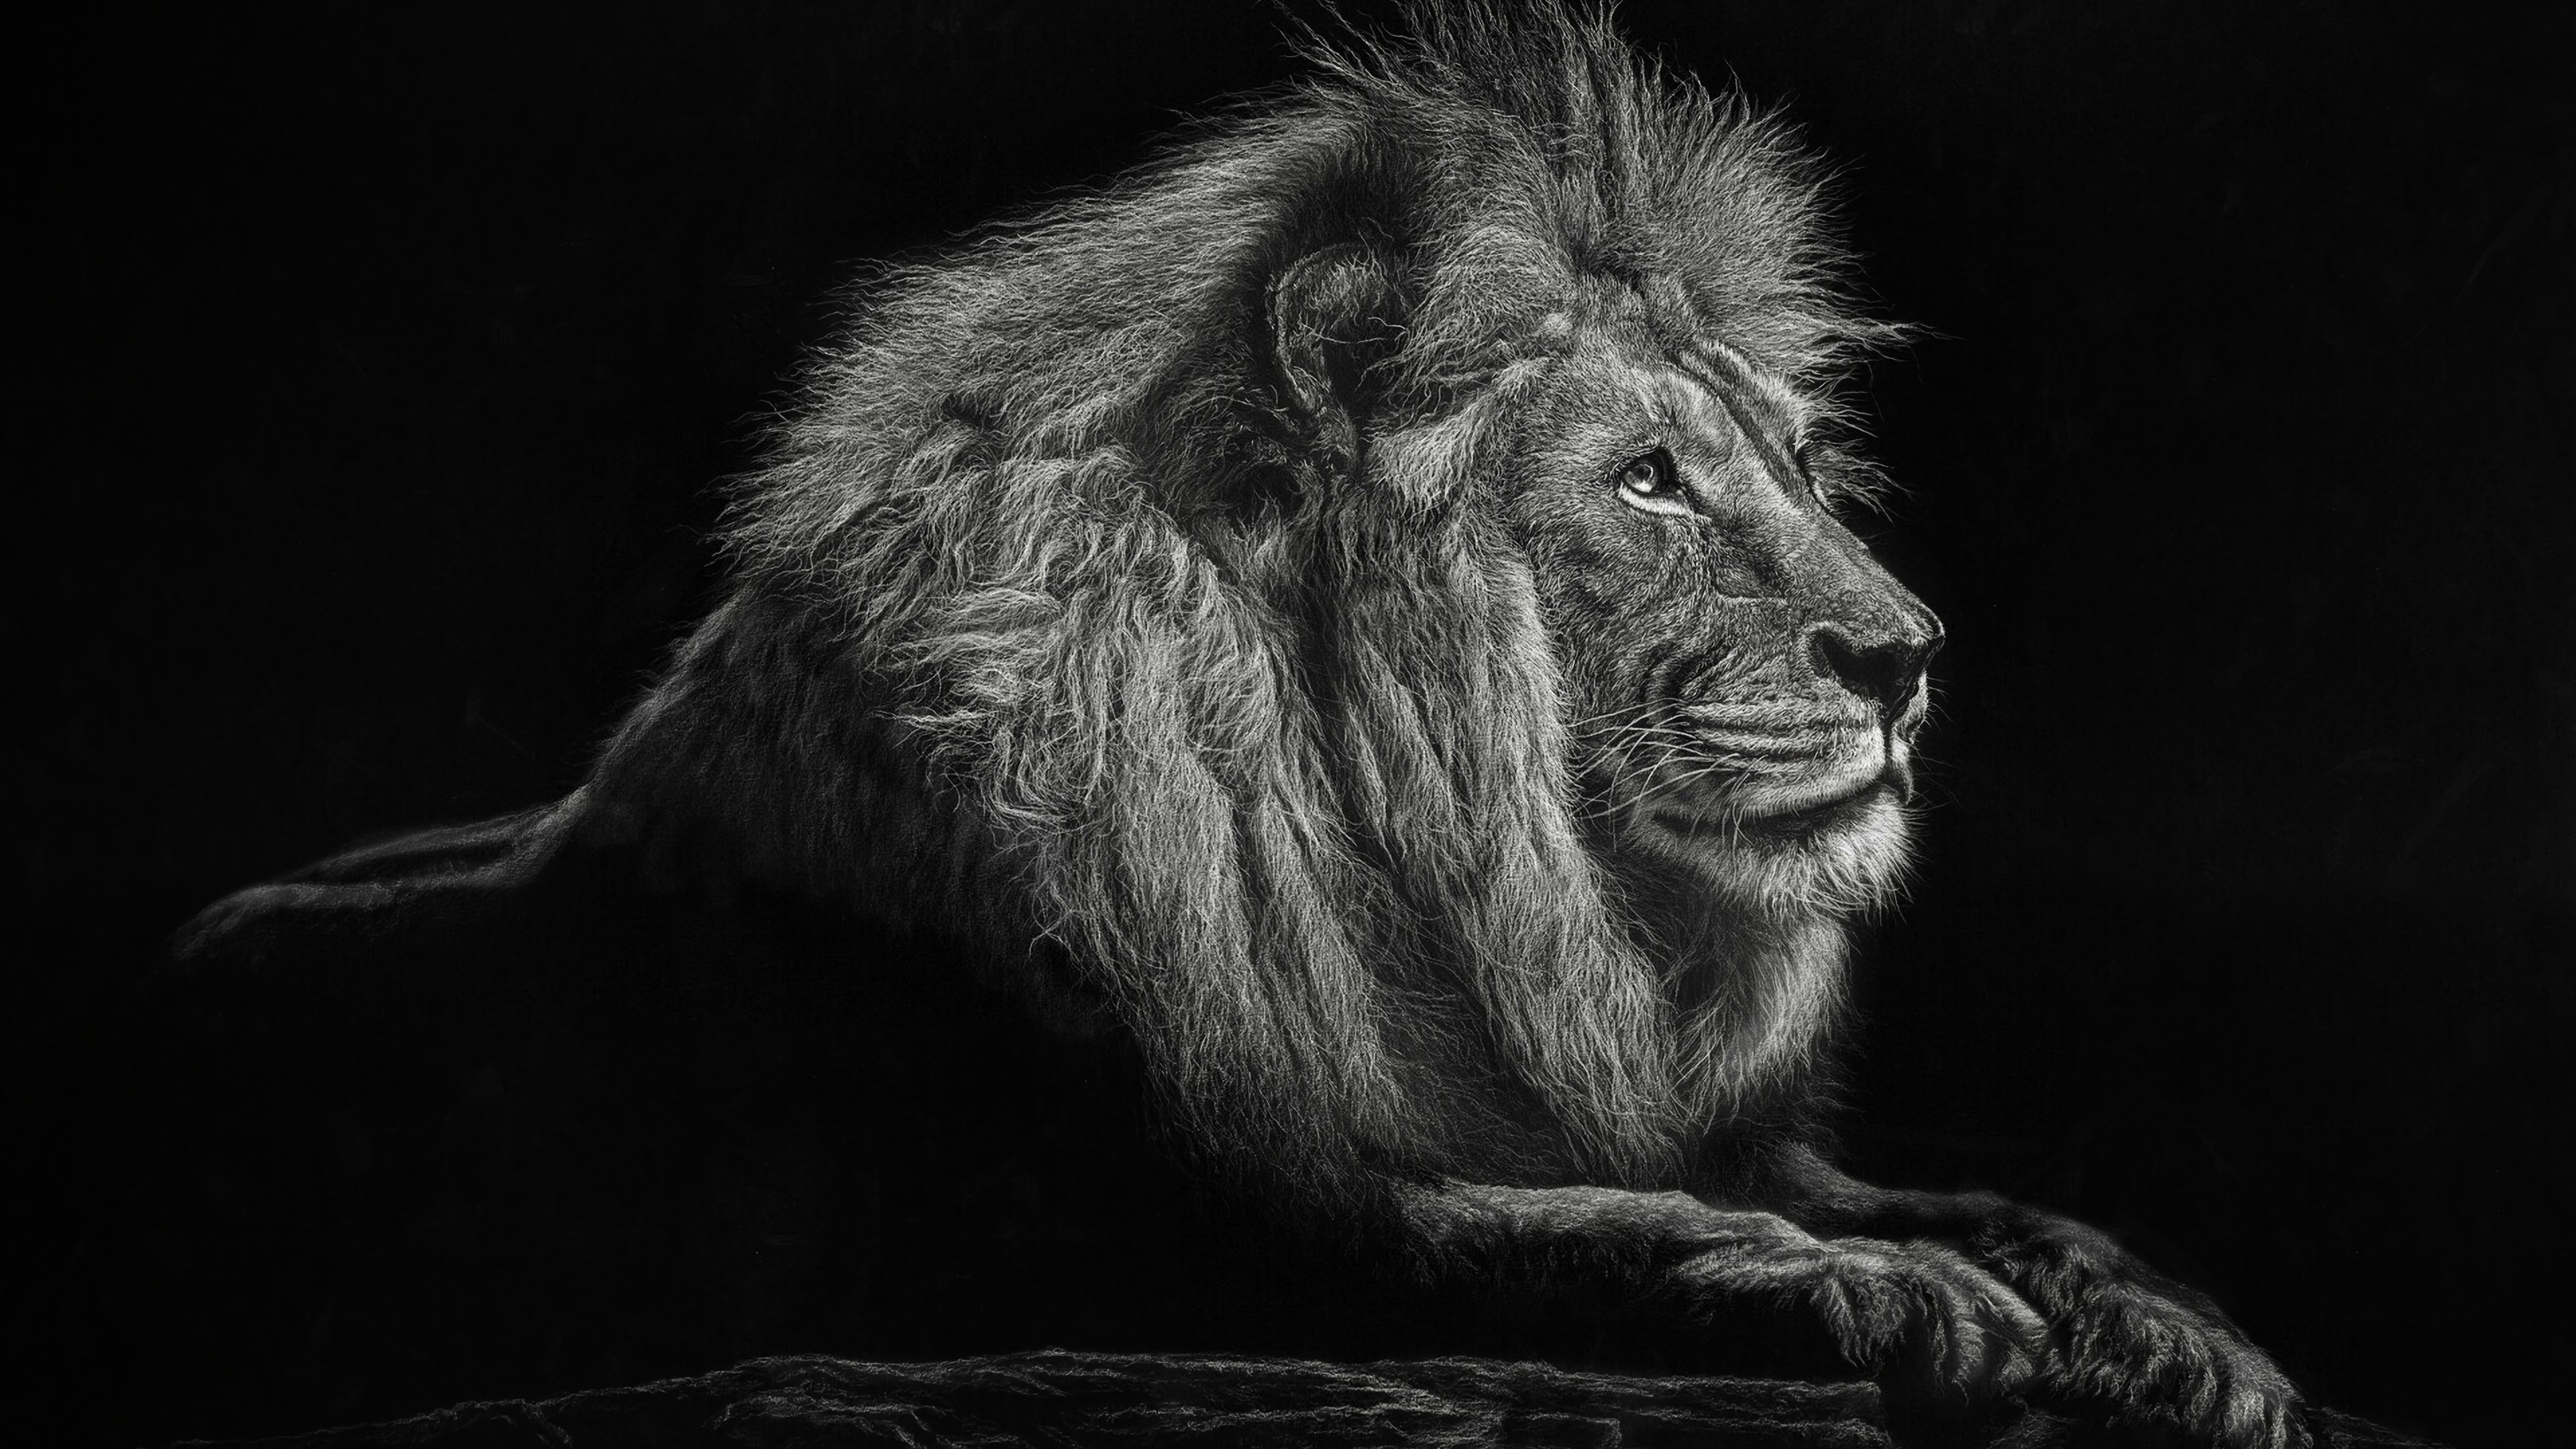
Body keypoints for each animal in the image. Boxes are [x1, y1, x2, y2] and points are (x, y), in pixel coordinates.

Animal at [156, 3, 2307, 1445]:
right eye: (1648, 482)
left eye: (1791, 462)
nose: (1908, 653)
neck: (1457, 884)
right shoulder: (1164, 1221)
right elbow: (1563, 1237)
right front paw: (1874, 1289)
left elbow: (1982, 1200)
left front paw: (2183, 1333)